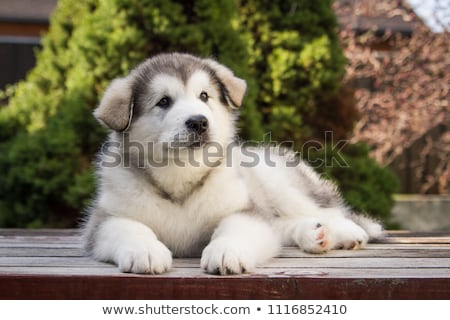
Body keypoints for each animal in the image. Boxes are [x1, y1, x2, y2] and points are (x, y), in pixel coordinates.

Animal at [81, 53, 384, 276]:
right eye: (163, 102)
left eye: (204, 96)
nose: (199, 121)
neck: (180, 175)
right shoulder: (106, 219)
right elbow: (130, 228)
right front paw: (145, 250)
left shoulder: (244, 210)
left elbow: (237, 229)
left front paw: (226, 251)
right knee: (282, 226)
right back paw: (314, 234)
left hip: (277, 183)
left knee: (324, 210)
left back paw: (345, 232)